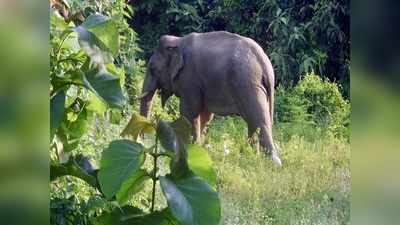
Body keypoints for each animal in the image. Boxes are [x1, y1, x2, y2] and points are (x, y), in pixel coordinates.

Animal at [139, 30, 282, 166]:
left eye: (152, 69)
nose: (142, 140)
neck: (177, 41)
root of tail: (264, 62)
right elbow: (205, 115)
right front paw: (199, 148)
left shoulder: (189, 78)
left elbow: (189, 111)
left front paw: (190, 148)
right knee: (256, 122)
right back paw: (252, 156)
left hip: (247, 84)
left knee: (258, 120)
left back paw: (273, 163)